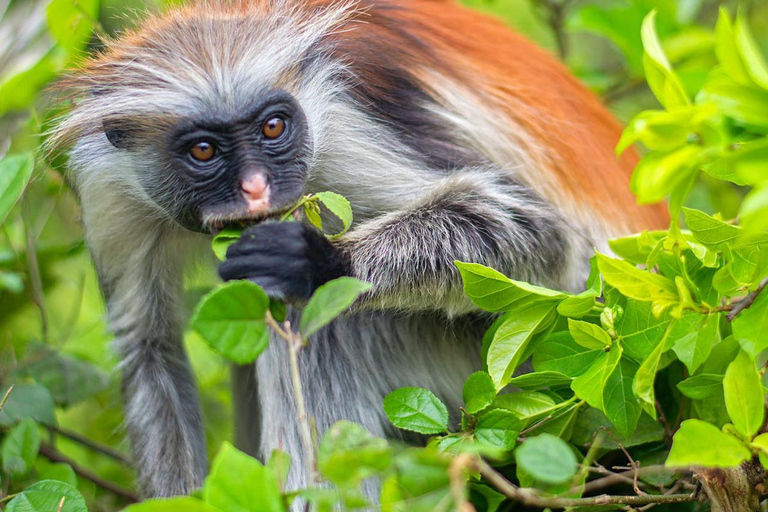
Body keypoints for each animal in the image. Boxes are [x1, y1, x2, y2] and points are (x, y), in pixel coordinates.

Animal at [49, 0, 669, 499]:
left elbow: (541, 231)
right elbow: (149, 348)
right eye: (203, 150)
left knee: (326, 328)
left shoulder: (342, 124)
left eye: (273, 128)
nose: (256, 189)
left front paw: (320, 261)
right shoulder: (110, 183)